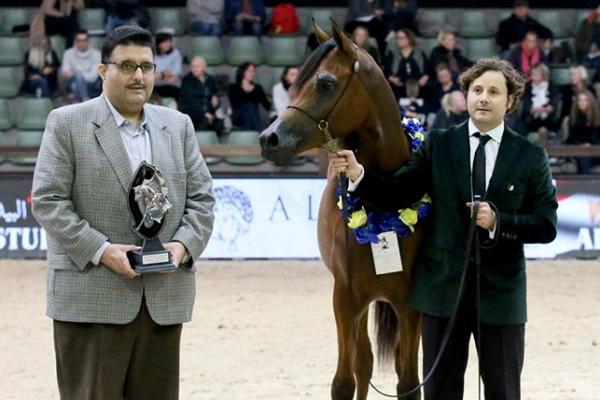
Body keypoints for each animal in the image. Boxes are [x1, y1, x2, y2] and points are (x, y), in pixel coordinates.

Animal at [260, 21, 424, 400]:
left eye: (325, 84)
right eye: (294, 83)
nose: (268, 139)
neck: (383, 199)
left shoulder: (412, 305)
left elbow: (409, 381)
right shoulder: (344, 299)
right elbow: (344, 381)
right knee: (363, 364)